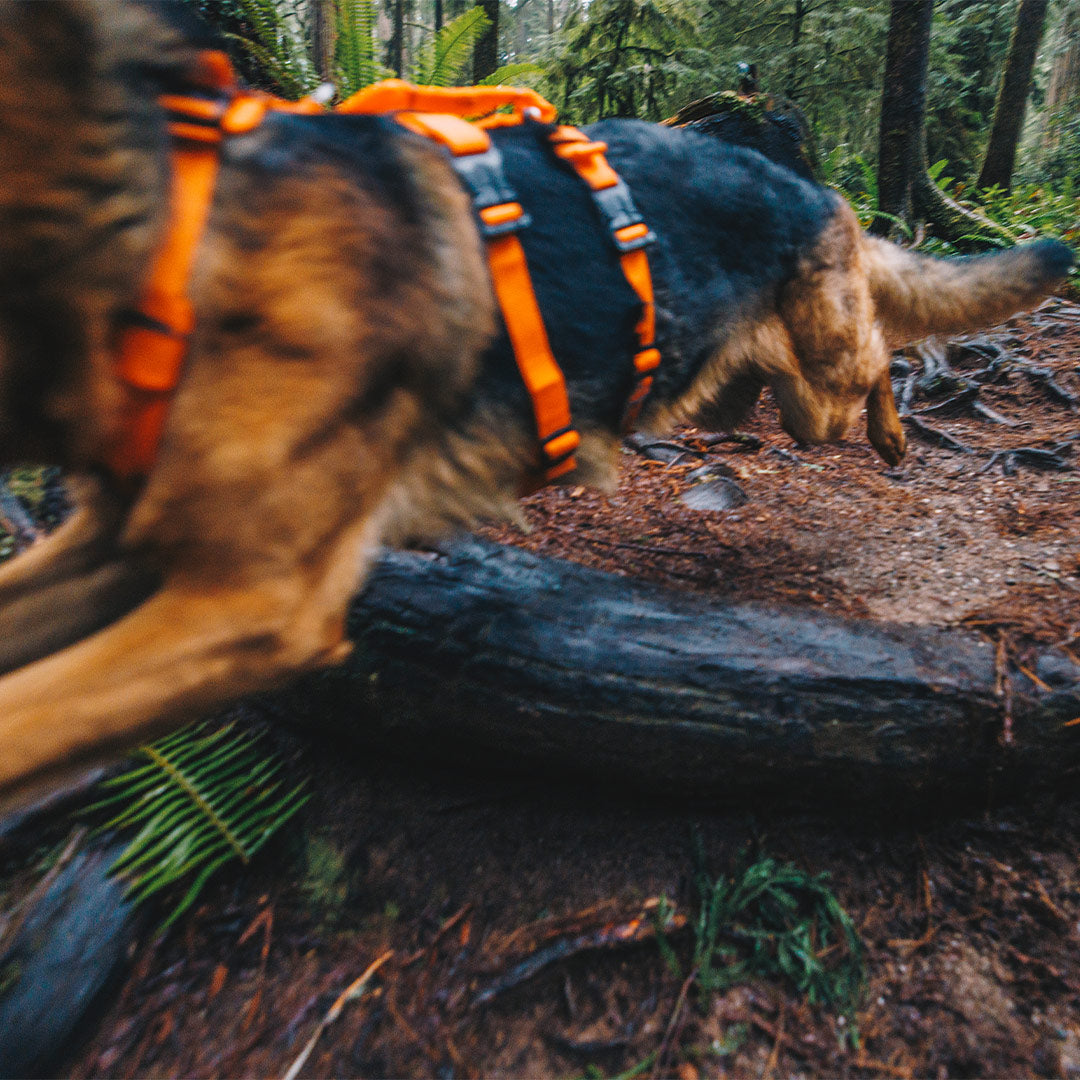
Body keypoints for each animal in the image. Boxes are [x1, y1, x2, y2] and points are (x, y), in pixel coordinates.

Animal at [0, 2, 1071, 812]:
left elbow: (31, 716)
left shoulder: (251, 603)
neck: (171, 228)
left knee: (881, 350)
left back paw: (894, 432)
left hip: (824, 384)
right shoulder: (120, 551)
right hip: (746, 400)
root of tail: (805, 180)